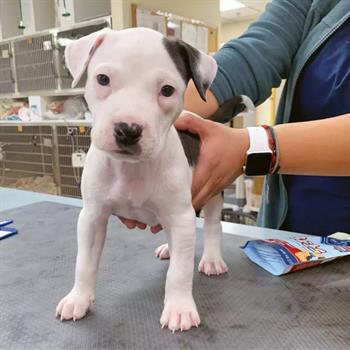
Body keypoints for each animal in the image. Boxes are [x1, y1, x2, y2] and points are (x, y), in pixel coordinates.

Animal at [56, 27, 250, 330]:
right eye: (102, 79)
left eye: (167, 90)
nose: (128, 129)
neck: (131, 169)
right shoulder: (92, 216)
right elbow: (84, 262)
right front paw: (78, 298)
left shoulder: (181, 216)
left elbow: (179, 272)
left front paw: (179, 307)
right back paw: (169, 248)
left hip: (213, 192)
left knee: (211, 226)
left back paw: (211, 258)